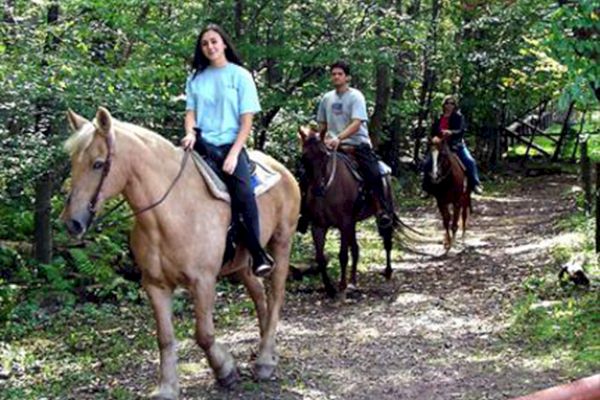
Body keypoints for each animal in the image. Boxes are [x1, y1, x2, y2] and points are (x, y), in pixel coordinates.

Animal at [62, 107, 300, 400]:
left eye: (97, 164)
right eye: (73, 162)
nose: (72, 222)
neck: (171, 212)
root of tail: (283, 170)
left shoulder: (203, 282)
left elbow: (204, 334)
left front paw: (226, 370)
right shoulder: (155, 285)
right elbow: (164, 337)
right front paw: (166, 387)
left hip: (282, 242)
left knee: (275, 294)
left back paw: (265, 361)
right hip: (242, 263)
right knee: (258, 295)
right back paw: (268, 347)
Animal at [298, 126, 396, 298]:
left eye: (324, 155)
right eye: (304, 157)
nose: (317, 190)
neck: (327, 188)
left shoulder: (344, 223)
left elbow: (342, 255)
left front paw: (342, 285)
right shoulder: (318, 226)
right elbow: (320, 258)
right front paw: (329, 288)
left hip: (384, 214)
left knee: (387, 241)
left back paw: (387, 271)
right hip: (353, 223)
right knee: (356, 249)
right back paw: (353, 282)